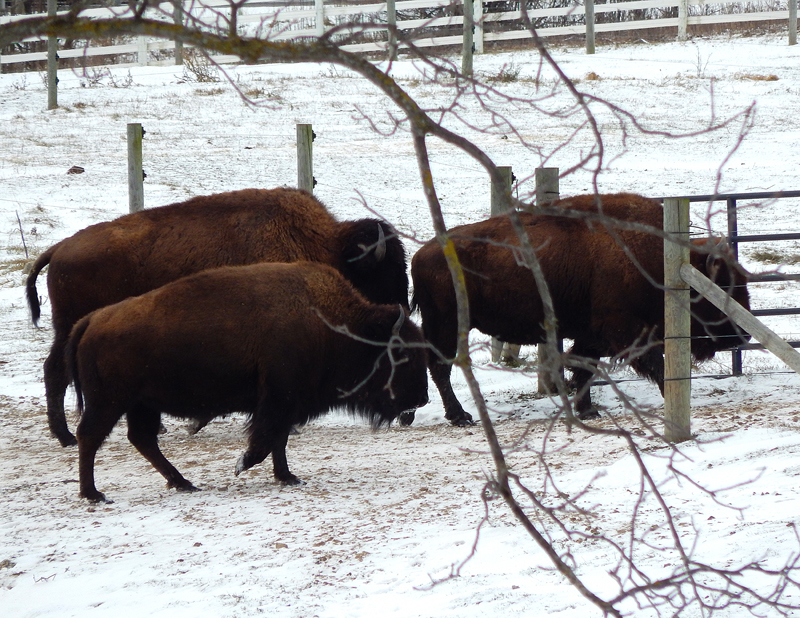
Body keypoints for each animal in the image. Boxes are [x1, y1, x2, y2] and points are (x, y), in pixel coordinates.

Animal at [26, 187, 410, 447]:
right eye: (383, 276)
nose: (400, 315)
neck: (323, 245)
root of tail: (58, 248)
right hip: (70, 326)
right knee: (55, 370)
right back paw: (66, 437)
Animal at [66, 261, 429, 503]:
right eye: (403, 355)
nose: (422, 398)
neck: (332, 325)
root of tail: (92, 320)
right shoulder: (278, 399)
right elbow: (266, 439)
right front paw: (241, 465)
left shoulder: (286, 403)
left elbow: (279, 440)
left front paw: (288, 477)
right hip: (110, 402)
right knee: (90, 436)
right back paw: (93, 493)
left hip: (141, 404)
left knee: (142, 440)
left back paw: (183, 483)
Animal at [409, 193, 750, 425]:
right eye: (724, 287)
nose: (744, 336)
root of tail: (420, 254)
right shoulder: (625, 330)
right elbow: (654, 364)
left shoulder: (594, 334)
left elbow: (584, 367)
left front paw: (588, 410)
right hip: (448, 325)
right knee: (440, 366)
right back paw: (459, 416)